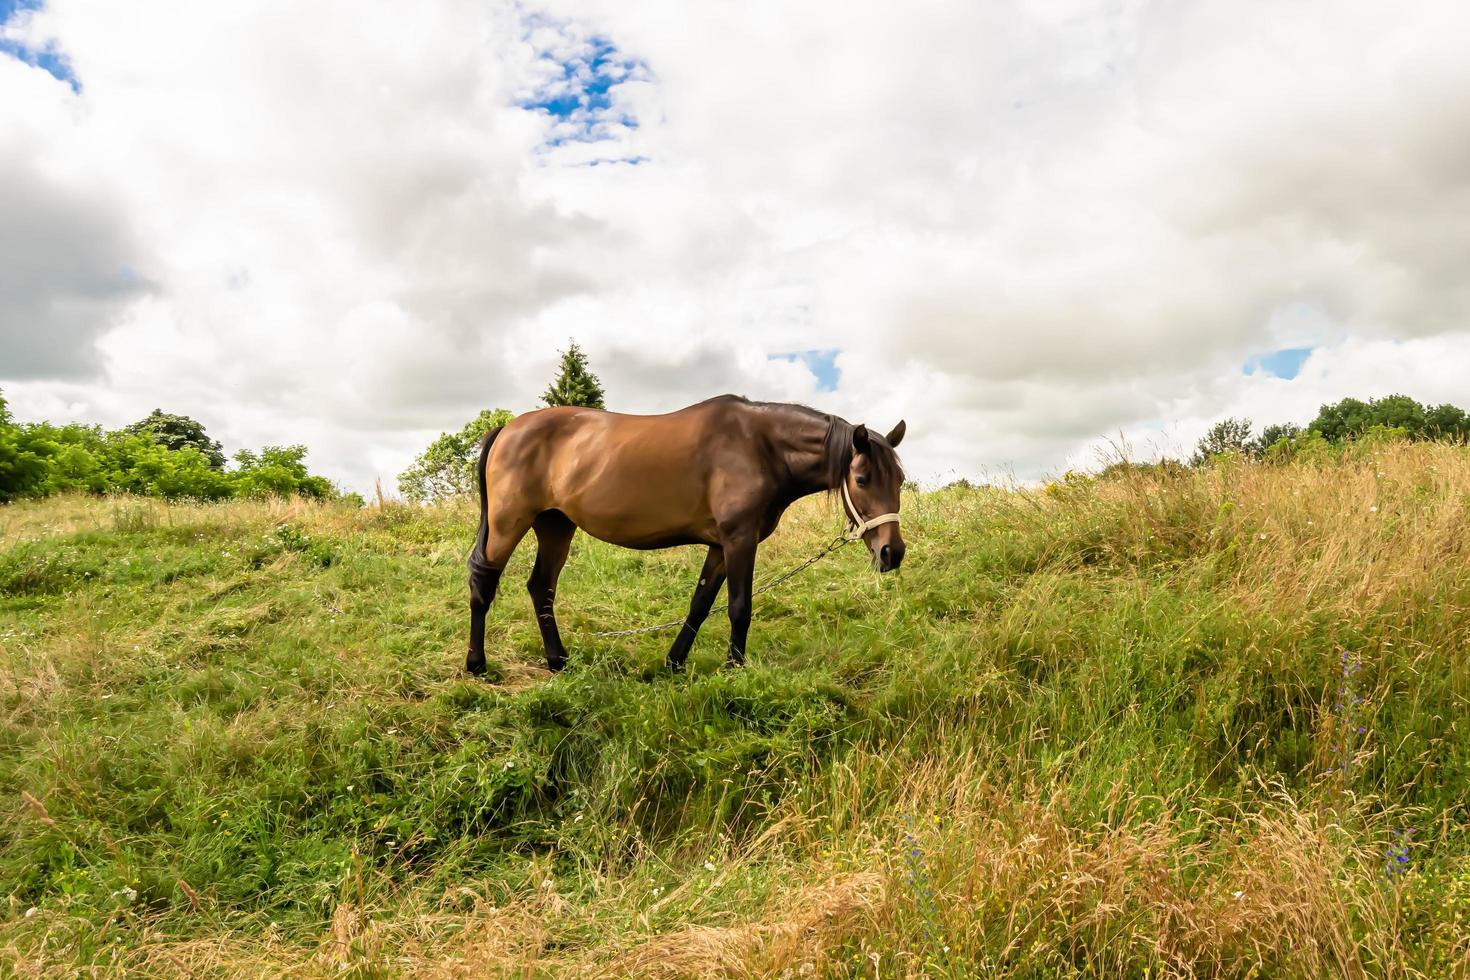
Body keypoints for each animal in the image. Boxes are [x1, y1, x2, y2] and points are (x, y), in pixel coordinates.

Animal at [467, 393, 905, 675]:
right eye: (862, 479)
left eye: (899, 479)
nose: (893, 552)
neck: (759, 446)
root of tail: (506, 428)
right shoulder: (739, 540)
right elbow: (739, 606)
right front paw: (734, 667)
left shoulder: (718, 546)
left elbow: (700, 603)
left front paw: (674, 662)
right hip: (508, 522)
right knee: (483, 583)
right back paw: (478, 664)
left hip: (556, 525)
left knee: (541, 587)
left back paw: (559, 661)